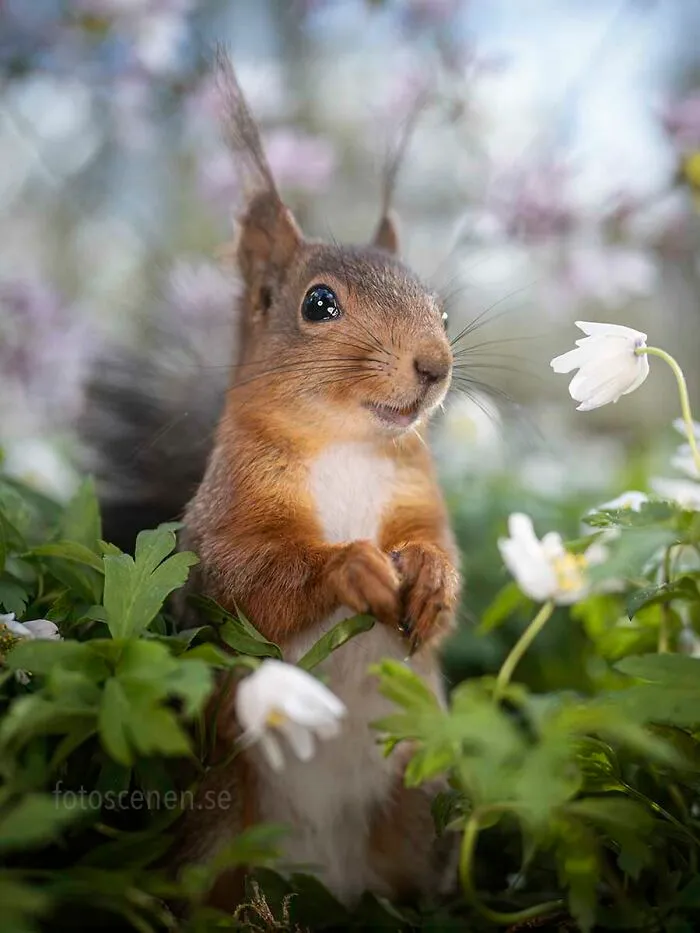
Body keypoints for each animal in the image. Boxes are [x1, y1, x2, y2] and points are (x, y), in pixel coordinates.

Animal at [82, 52, 461, 911]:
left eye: (445, 311)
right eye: (318, 303)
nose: (435, 365)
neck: (346, 444)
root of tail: (329, 882)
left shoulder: (417, 497)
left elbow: (439, 555)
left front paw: (426, 578)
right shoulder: (225, 518)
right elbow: (249, 576)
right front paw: (350, 566)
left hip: (415, 802)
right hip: (220, 817)